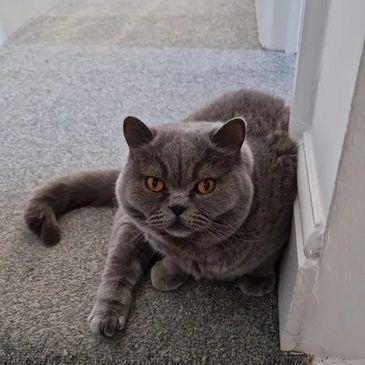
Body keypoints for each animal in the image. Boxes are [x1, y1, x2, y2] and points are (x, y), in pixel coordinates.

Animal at [24, 88, 296, 336]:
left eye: (205, 185)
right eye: (154, 183)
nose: (177, 206)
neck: (199, 251)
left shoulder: (281, 222)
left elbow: (265, 257)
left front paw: (258, 279)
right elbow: (171, 259)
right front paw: (167, 273)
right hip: (129, 223)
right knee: (118, 266)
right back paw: (106, 316)